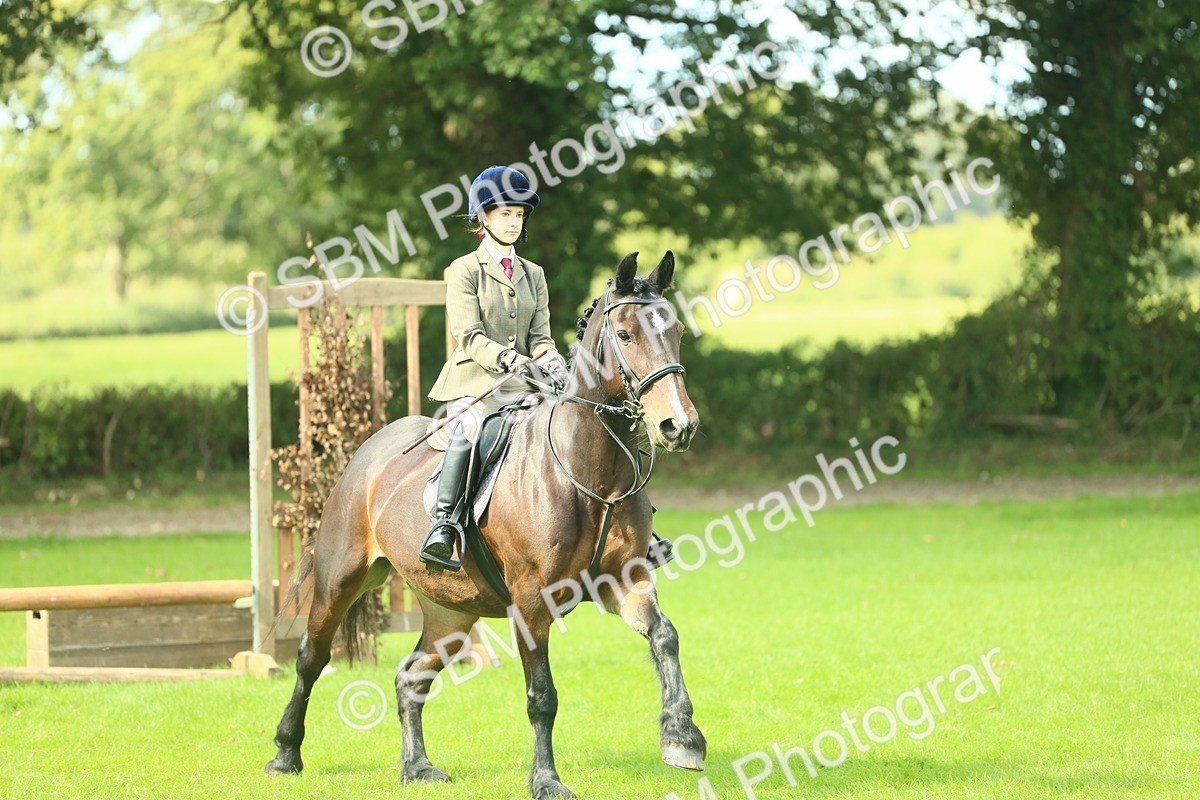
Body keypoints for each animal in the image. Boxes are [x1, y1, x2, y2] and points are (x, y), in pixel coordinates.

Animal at [264, 250, 706, 799]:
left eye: (678, 331)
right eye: (625, 335)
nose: (678, 426)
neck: (589, 470)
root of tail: (368, 451)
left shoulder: (625, 578)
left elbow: (665, 636)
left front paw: (682, 737)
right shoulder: (532, 600)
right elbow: (542, 695)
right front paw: (547, 781)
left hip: (450, 612)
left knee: (411, 676)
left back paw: (418, 768)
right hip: (341, 577)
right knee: (312, 656)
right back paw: (285, 754)